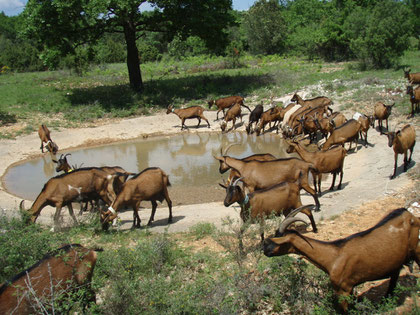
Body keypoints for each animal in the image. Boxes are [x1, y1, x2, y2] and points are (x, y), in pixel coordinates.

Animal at [264, 209, 420, 314]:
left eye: (278, 239)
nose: (264, 249)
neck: (333, 257)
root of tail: (410, 215)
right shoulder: (349, 289)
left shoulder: (343, 290)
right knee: (394, 278)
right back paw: (385, 301)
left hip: (417, 250)